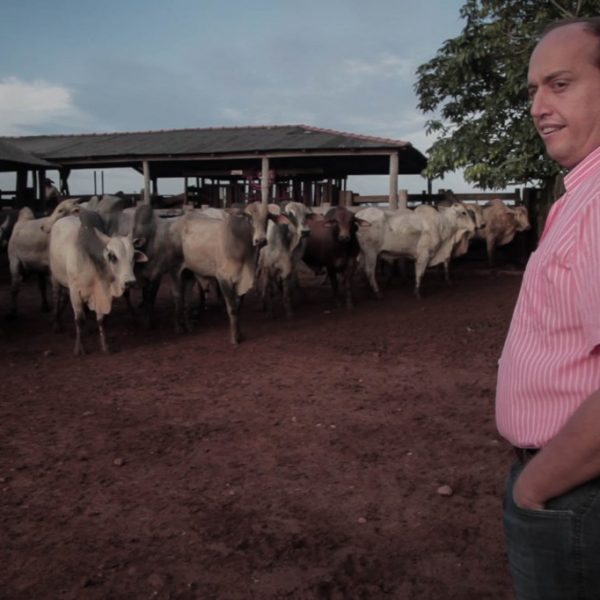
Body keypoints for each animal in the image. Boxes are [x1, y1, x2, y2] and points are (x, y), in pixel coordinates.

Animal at [49, 209, 147, 355]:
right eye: (112, 256)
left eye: (133, 257)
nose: (130, 282)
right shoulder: (75, 291)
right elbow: (79, 319)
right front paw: (79, 348)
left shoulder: (100, 292)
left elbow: (101, 320)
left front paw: (105, 346)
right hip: (55, 278)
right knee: (56, 297)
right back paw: (56, 323)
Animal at [170, 201, 273, 344]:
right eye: (249, 218)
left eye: (267, 218)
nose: (261, 240)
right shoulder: (224, 279)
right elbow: (232, 309)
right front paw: (234, 339)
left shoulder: (242, 281)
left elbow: (238, 308)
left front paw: (239, 335)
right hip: (175, 269)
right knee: (177, 295)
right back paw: (179, 327)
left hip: (190, 273)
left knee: (187, 296)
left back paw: (189, 325)